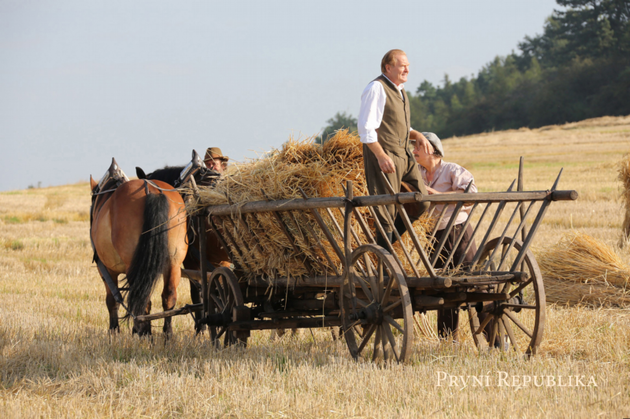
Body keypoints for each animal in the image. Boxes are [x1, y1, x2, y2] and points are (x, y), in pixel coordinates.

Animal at [89, 159, 188, 336]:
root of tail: (152, 191)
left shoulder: (106, 269)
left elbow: (112, 300)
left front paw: (114, 330)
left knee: (143, 299)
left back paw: (143, 332)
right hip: (174, 262)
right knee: (168, 297)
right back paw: (167, 334)